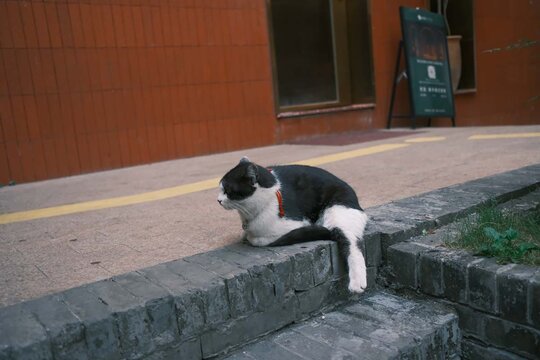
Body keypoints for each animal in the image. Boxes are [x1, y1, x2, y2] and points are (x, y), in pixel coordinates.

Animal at [218, 157, 368, 292]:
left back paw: (357, 282)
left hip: (338, 212)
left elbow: (258, 239)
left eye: (228, 190)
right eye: (220, 189)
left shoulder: (294, 223)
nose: (218, 200)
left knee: (351, 243)